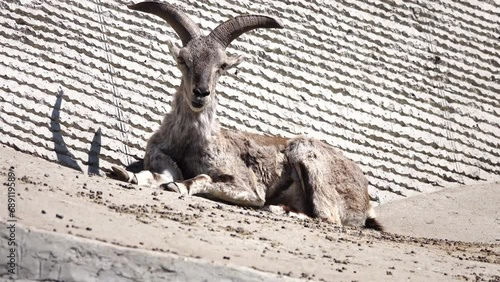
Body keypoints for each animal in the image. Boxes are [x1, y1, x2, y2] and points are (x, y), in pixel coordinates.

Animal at [115, 1, 382, 230]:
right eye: (183, 59)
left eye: (222, 66)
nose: (201, 93)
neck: (191, 142)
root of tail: (366, 199)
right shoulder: (162, 156)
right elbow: (157, 174)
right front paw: (127, 174)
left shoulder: (247, 186)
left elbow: (202, 179)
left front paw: (179, 186)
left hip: (307, 157)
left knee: (328, 217)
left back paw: (278, 210)